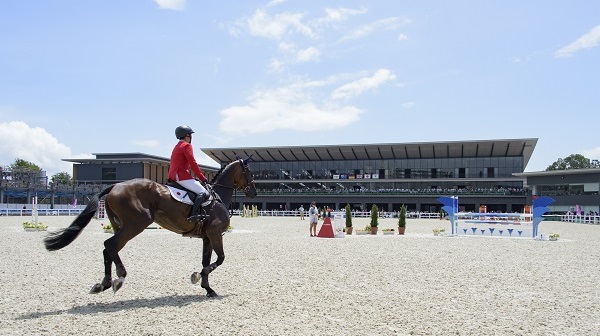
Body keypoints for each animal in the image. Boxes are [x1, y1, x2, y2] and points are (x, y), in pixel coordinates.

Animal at [43, 158, 255, 296]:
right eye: (250, 173)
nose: (253, 191)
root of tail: (115, 186)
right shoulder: (215, 233)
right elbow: (219, 259)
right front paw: (197, 277)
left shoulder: (207, 237)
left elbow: (206, 261)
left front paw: (208, 289)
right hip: (135, 224)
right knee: (110, 245)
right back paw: (119, 278)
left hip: (120, 225)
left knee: (108, 249)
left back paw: (103, 284)